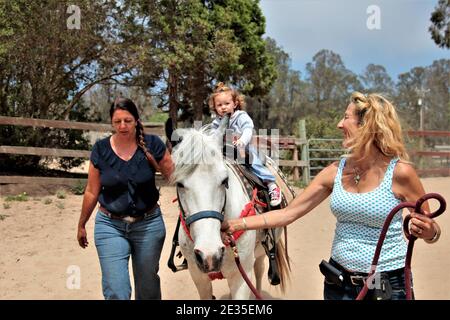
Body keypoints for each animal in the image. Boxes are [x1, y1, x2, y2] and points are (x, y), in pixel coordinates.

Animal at [171, 120, 290, 300]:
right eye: (179, 184)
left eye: (224, 180)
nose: (209, 255)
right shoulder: (198, 276)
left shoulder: (241, 276)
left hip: (261, 252)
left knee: (259, 270)